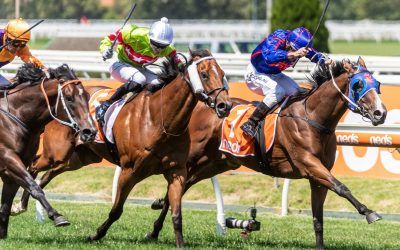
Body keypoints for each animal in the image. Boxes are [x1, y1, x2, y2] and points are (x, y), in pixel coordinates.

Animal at [0, 63, 96, 238]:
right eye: (69, 97)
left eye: (86, 96)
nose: (89, 131)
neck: (17, 115)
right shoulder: (8, 157)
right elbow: (34, 186)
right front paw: (57, 216)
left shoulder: (14, 166)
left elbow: (6, 202)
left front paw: (2, 233)